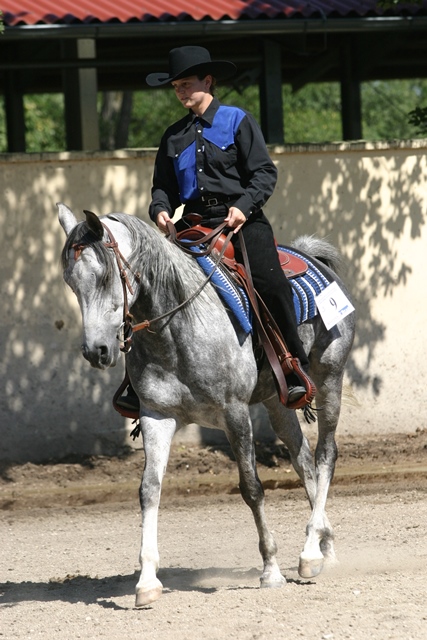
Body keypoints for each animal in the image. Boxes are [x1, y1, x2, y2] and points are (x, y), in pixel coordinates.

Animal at [58, 204, 356, 604]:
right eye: (71, 281)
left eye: (105, 277)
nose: (96, 351)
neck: (176, 328)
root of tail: (312, 257)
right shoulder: (157, 416)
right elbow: (149, 490)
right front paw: (147, 581)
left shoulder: (234, 413)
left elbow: (251, 488)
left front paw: (271, 570)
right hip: (277, 402)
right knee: (303, 460)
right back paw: (323, 548)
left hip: (329, 378)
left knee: (325, 455)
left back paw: (310, 551)